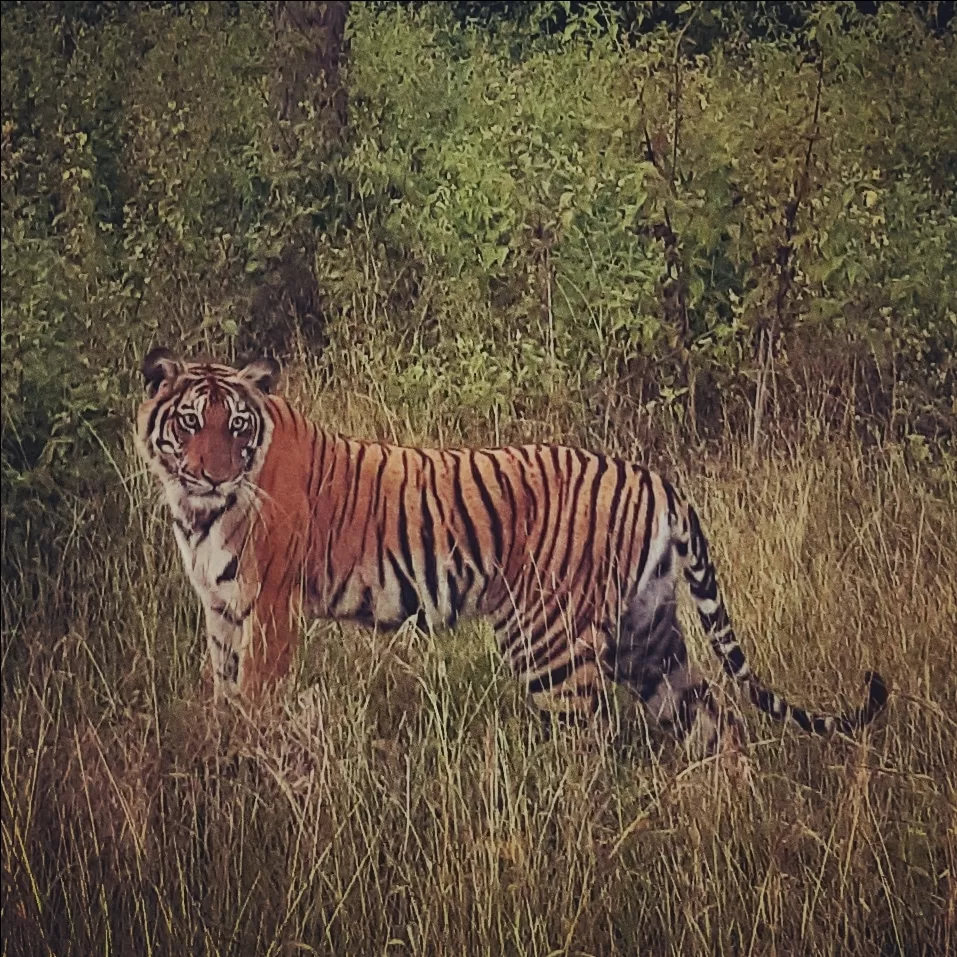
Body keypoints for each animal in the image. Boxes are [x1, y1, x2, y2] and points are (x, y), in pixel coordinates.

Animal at [136, 348, 888, 752]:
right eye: (190, 423)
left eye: (236, 426)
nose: (213, 473)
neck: (198, 514)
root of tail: (652, 475)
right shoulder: (222, 609)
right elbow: (224, 685)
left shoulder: (272, 606)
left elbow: (254, 695)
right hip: (644, 632)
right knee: (712, 718)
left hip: (551, 639)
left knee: (591, 742)